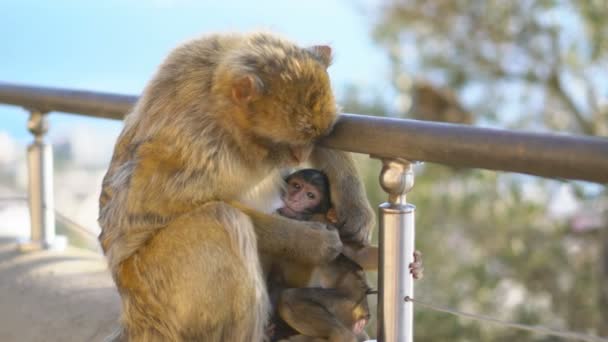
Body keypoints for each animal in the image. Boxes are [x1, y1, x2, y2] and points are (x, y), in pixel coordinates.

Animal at [98, 32, 376, 342]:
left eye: (313, 139)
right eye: (285, 143)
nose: (299, 155)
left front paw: (354, 206)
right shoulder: (193, 148)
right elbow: (171, 209)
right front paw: (309, 241)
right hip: (155, 294)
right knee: (221, 220)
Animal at [270, 170, 422, 340]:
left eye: (310, 195)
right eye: (296, 186)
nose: (294, 198)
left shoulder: (318, 220)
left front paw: (417, 265)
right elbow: (357, 254)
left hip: (347, 302)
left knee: (290, 300)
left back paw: (340, 334)